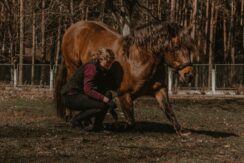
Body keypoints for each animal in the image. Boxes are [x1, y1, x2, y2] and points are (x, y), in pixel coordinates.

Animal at [54, 20, 197, 135]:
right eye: (176, 47)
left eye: (189, 48)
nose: (189, 75)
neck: (138, 60)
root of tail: (72, 28)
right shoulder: (124, 95)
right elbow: (130, 122)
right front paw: (114, 126)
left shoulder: (159, 90)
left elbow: (169, 110)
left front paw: (181, 131)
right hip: (73, 68)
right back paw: (79, 120)